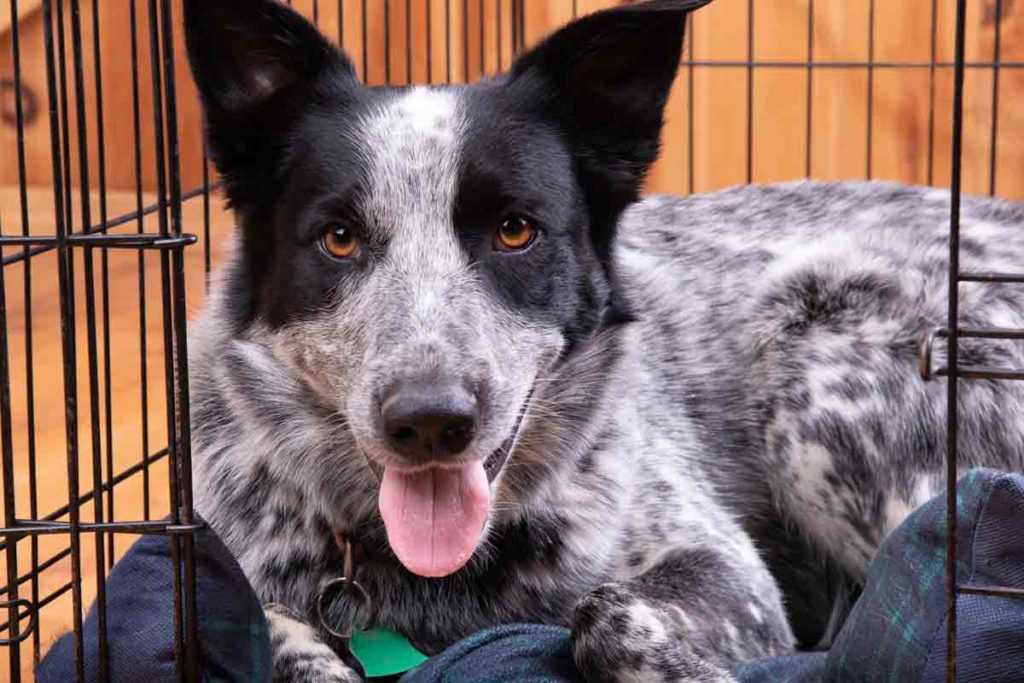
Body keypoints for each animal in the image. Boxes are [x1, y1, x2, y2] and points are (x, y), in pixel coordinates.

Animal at [182, 0, 1024, 679]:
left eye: (515, 230)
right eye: (339, 238)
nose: (428, 420)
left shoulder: (732, 576)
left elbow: (606, 613)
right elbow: (265, 629)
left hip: (814, 344)